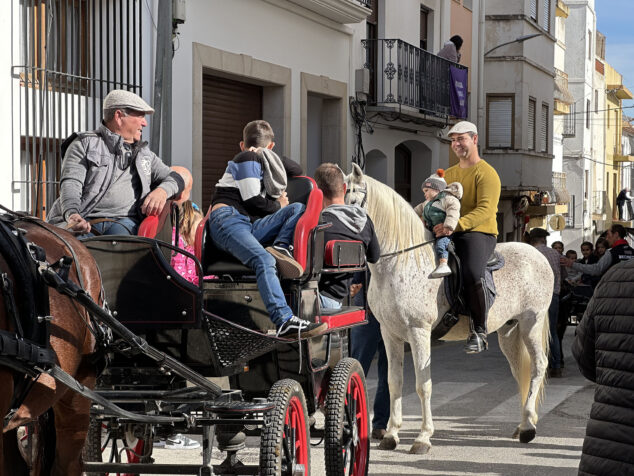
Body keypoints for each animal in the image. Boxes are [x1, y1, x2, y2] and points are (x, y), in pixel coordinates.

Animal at [344, 164, 552, 454]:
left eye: (352, 201)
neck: (400, 261)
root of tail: (537, 254)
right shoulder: (390, 333)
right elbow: (394, 382)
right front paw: (391, 435)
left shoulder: (418, 332)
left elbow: (423, 385)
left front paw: (422, 438)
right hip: (509, 332)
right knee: (520, 371)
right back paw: (523, 424)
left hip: (531, 323)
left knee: (538, 366)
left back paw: (529, 428)